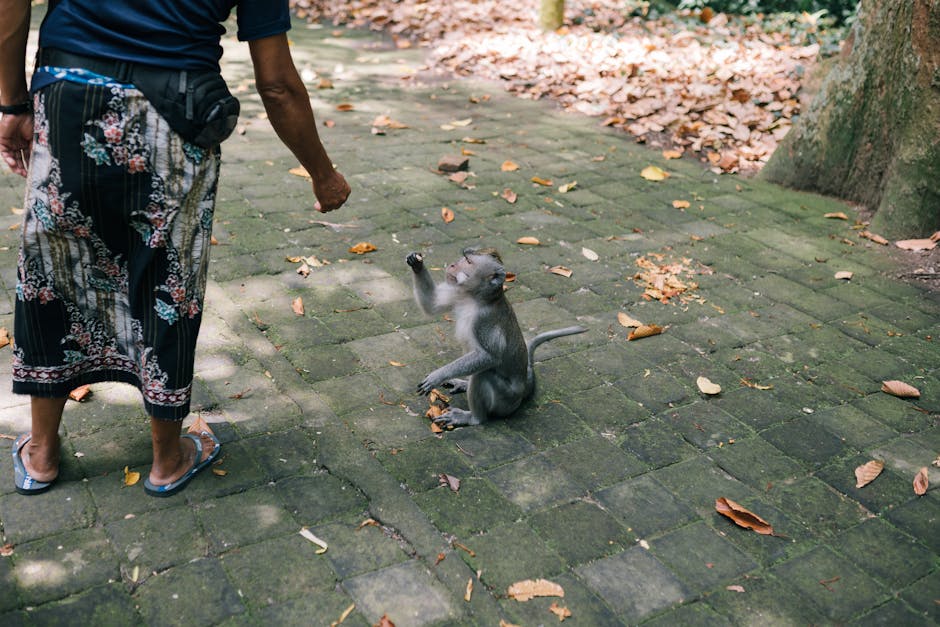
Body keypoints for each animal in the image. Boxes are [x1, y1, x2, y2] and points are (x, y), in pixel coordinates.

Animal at [406, 247, 586, 427]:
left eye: (468, 262)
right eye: (463, 258)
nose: (452, 265)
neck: (475, 298)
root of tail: (524, 388)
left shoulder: (483, 320)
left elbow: (490, 356)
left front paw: (438, 375)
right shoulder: (458, 293)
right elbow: (432, 304)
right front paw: (416, 263)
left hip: (505, 400)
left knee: (483, 374)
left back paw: (473, 418)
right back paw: (465, 384)